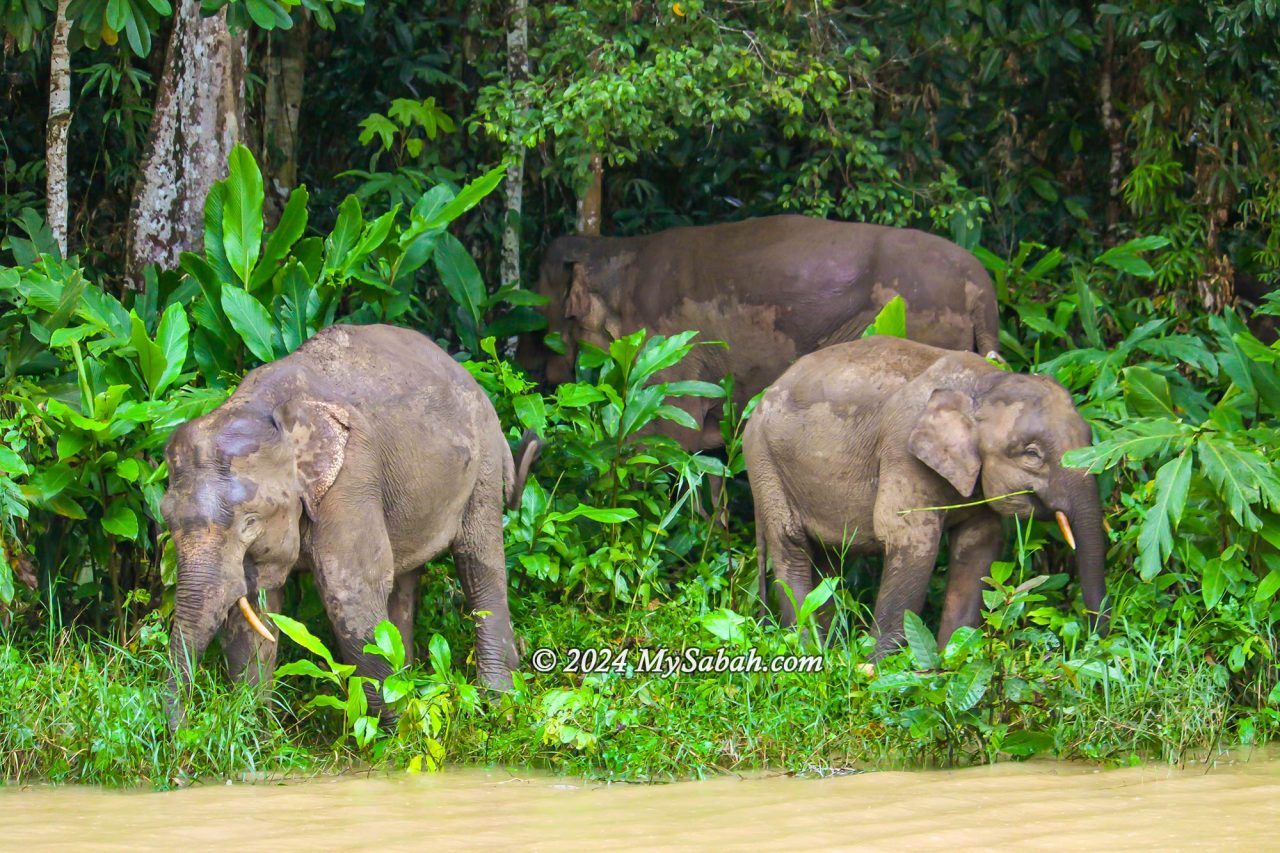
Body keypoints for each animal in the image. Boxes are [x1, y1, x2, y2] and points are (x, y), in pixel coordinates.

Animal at [161, 322, 540, 722]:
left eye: (250, 521)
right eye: (165, 517)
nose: (180, 727)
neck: (265, 409)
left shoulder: (350, 477)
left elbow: (351, 590)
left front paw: (396, 731)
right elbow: (255, 609)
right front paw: (258, 726)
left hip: (483, 464)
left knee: (477, 561)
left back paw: (499, 704)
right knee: (404, 577)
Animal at [747, 335, 1105, 653]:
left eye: (1090, 437)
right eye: (1032, 454)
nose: (1092, 642)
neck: (983, 383)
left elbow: (979, 543)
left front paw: (948, 662)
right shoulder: (902, 451)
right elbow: (911, 540)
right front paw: (877, 670)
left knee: (828, 559)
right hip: (765, 466)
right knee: (791, 546)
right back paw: (810, 650)